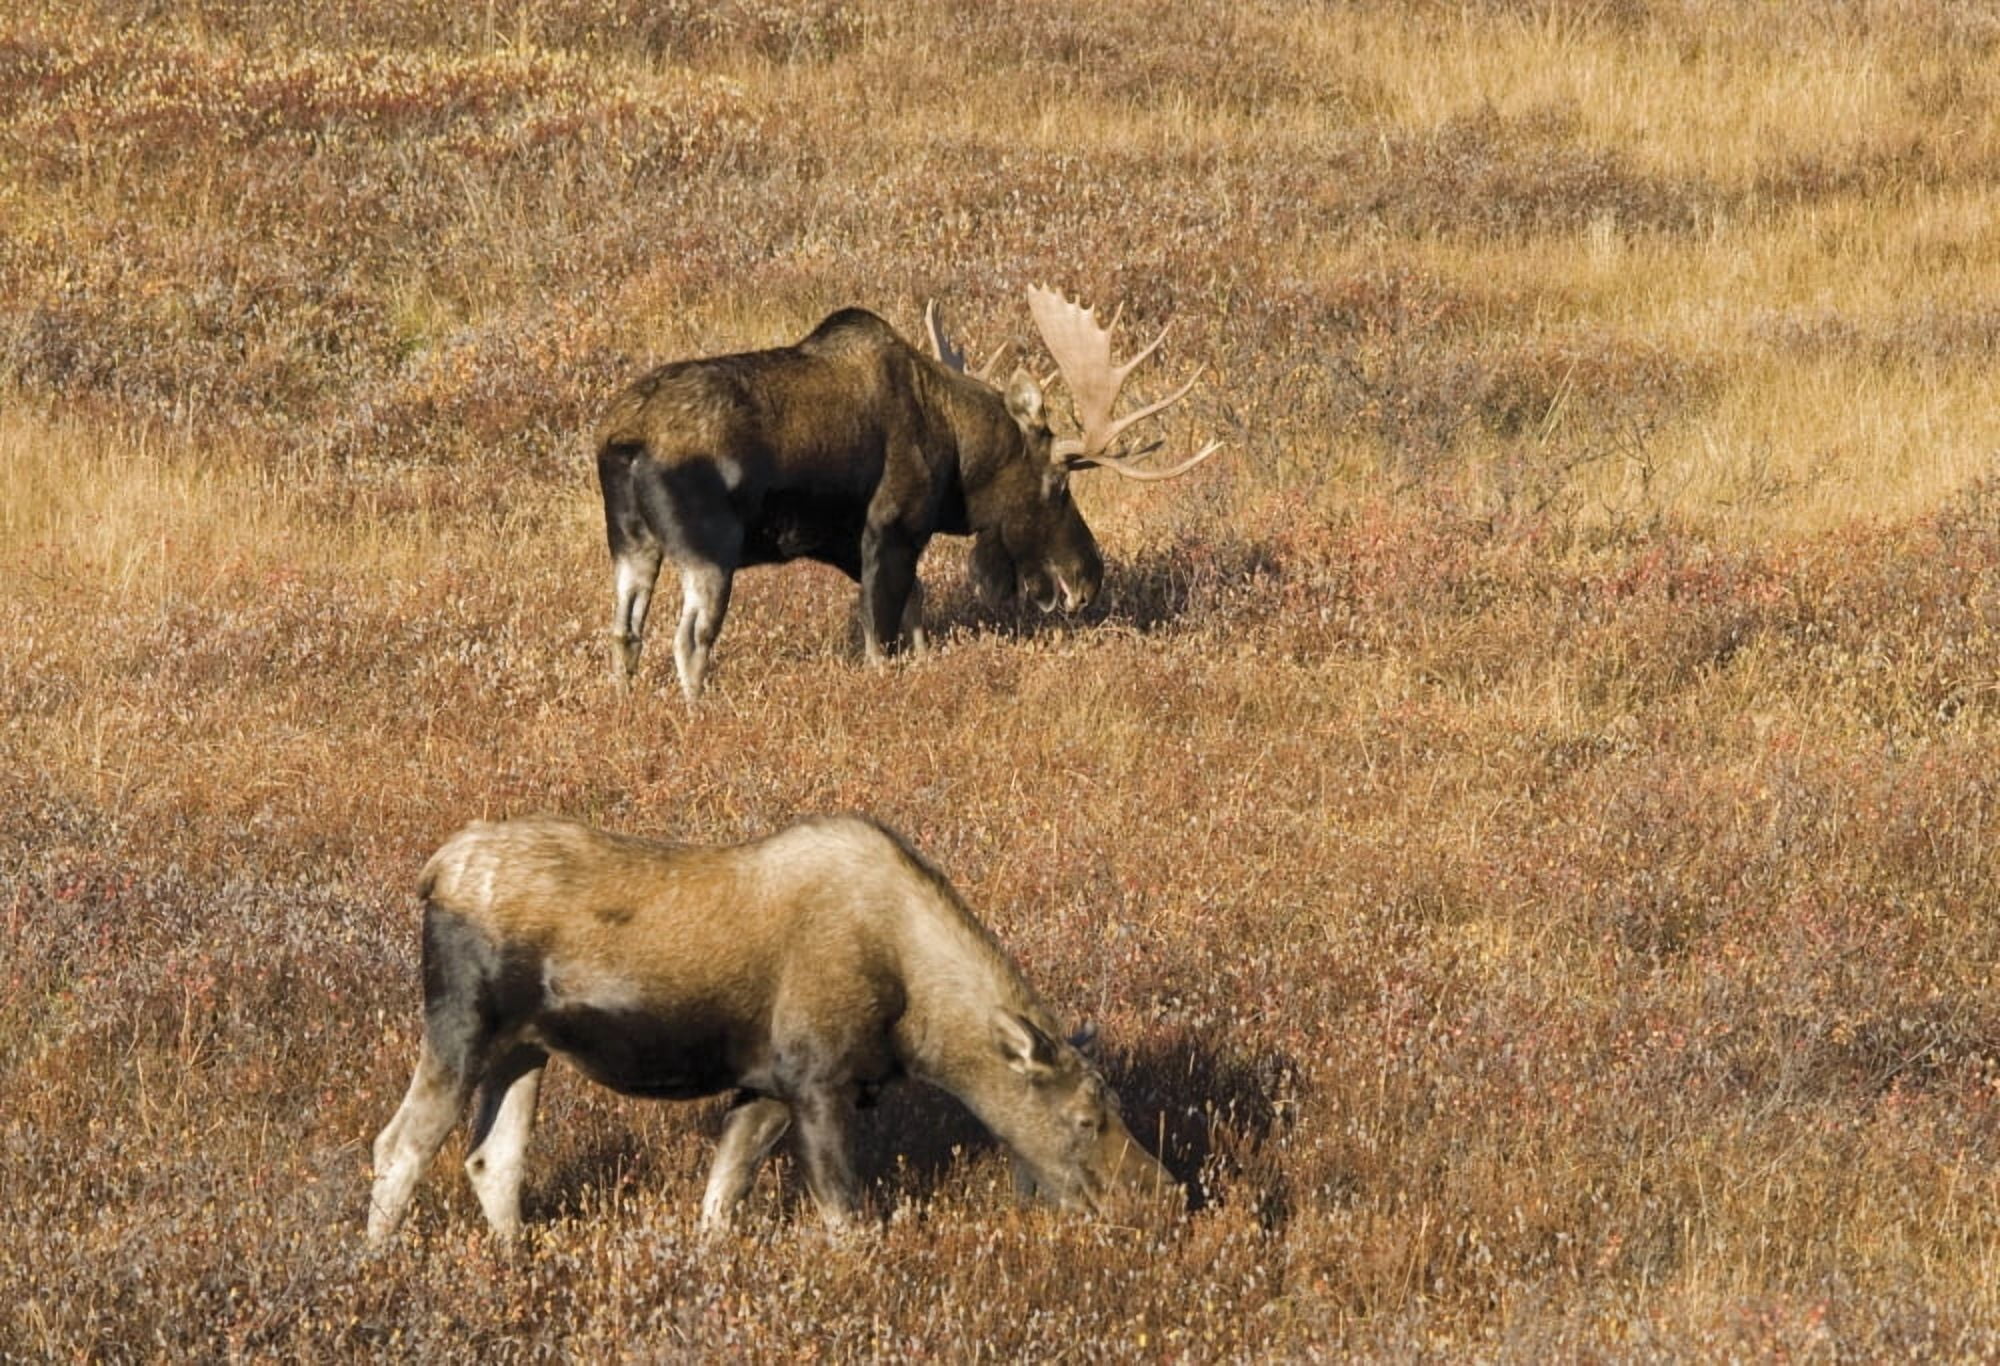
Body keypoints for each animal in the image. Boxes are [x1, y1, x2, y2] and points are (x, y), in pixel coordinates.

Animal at [367, 814, 1181, 1246]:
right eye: (1085, 1117)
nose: (1166, 1196)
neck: (918, 1019)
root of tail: (433, 872)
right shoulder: (816, 1081)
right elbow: (845, 1216)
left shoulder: (763, 1088)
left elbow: (721, 1196)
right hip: (461, 1029)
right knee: (399, 1144)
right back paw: (378, 1263)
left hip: (525, 1049)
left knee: (490, 1158)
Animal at [595, 285, 1221, 699]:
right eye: (1059, 485)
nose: (1087, 579)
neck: (957, 459)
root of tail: (624, 439)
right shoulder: (890, 526)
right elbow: (881, 635)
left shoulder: (849, 542)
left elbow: (914, 610)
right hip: (709, 549)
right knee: (689, 640)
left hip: (632, 542)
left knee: (625, 631)